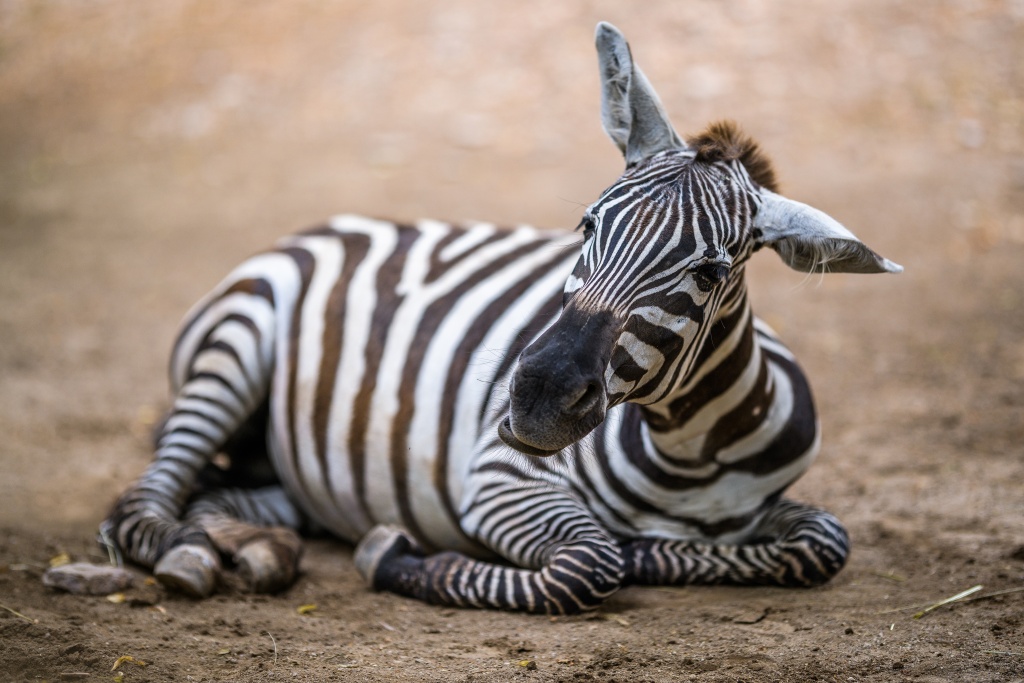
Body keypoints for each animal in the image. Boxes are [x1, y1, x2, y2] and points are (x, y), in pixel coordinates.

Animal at [99, 21, 901, 614]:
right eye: (586, 226)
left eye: (709, 274)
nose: (535, 398)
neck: (691, 455)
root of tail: (335, 222)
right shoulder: (494, 479)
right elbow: (590, 562)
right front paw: (398, 558)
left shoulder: (778, 510)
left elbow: (823, 542)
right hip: (232, 348)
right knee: (143, 505)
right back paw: (183, 551)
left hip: (290, 475)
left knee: (214, 495)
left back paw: (252, 549)